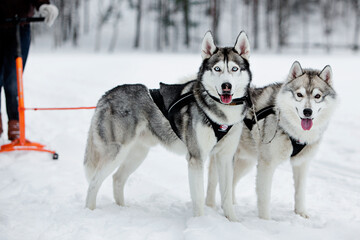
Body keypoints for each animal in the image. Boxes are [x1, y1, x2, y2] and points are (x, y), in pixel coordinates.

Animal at [83, 31, 253, 221]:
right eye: (217, 69)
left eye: (234, 69)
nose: (226, 86)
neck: (221, 114)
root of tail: (107, 95)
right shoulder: (196, 158)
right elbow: (199, 198)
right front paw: (200, 222)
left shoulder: (225, 157)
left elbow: (226, 196)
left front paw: (233, 221)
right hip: (117, 152)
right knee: (94, 181)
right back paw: (89, 212)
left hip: (137, 153)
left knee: (117, 178)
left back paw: (122, 209)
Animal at [205, 61, 338, 219]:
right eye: (299, 94)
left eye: (317, 96)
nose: (307, 112)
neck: (293, 130)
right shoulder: (267, 164)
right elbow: (264, 196)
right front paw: (265, 220)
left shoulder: (302, 163)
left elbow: (300, 193)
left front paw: (301, 214)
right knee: (213, 182)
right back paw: (210, 206)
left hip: (245, 162)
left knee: (231, 182)